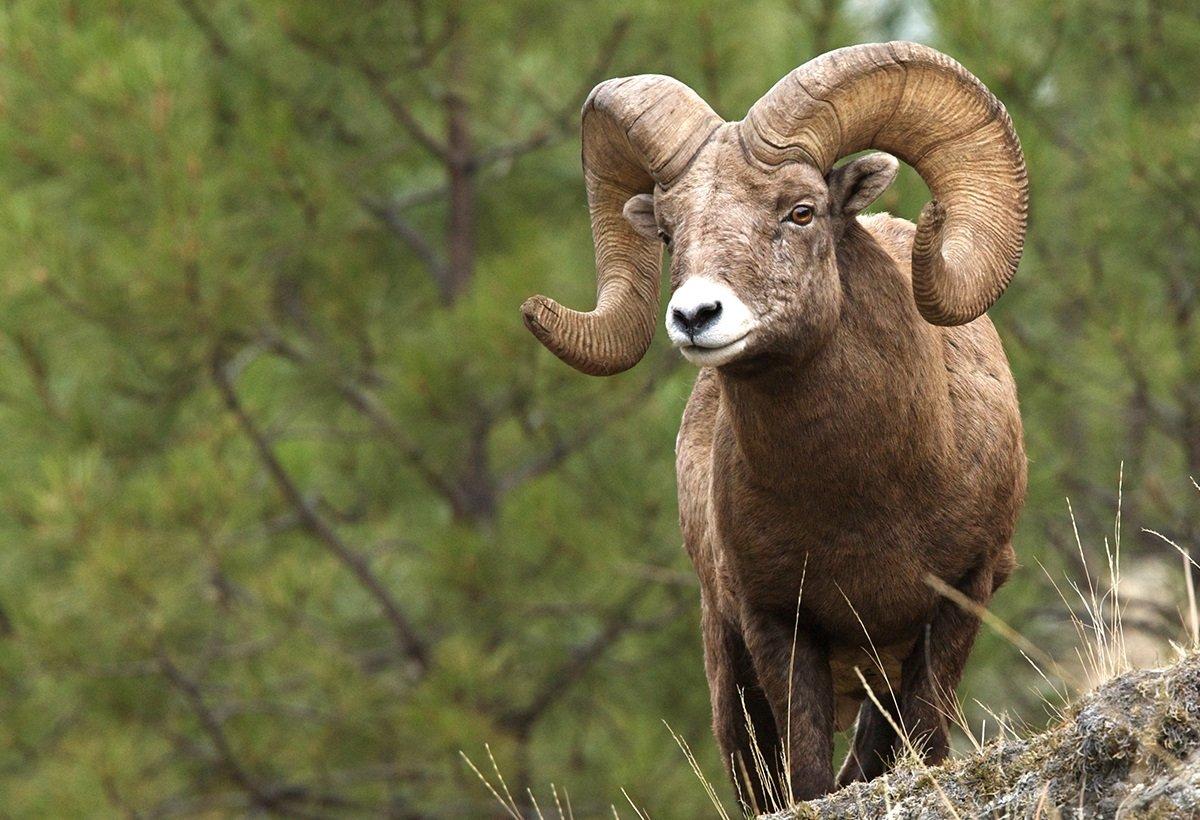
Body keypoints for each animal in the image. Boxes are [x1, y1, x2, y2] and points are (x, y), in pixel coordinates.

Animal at [521, 41, 1028, 807]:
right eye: (667, 231)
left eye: (802, 210)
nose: (696, 316)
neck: (869, 501)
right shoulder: (777, 626)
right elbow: (809, 777)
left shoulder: (959, 599)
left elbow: (925, 743)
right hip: (730, 676)